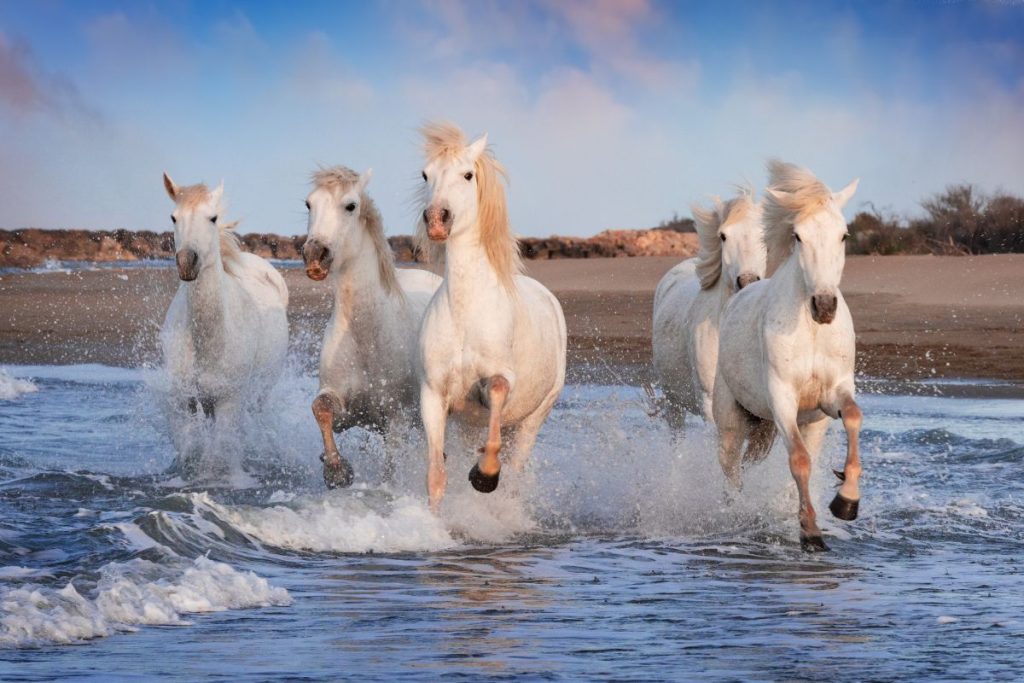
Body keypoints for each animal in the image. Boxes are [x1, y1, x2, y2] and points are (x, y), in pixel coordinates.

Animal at [160, 174, 289, 471]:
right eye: (174, 217)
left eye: (213, 217)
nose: (187, 262)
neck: (210, 339)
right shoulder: (183, 402)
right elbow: (189, 452)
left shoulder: (228, 403)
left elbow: (219, 456)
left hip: (258, 395)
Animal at [301, 166, 442, 489]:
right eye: (309, 203)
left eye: (350, 206)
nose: (315, 255)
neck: (366, 334)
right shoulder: (348, 411)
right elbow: (321, 409)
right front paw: (336, 470)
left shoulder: (396, 421)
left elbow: (390, 470)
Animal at [414, 122, 567, 512]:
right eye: (426, 174)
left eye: (468, 174)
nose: (436, 220)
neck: (466, 312)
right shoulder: (434, 394)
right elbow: (435, 474)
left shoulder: (500, 381)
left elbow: (496, 394)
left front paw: (484, 476)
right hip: (469, 425)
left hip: (533, 419)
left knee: (516, 468)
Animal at [712, 160, 862, 552]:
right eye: (798, 236)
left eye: (844, 235)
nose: (824, 306)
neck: (811, 332)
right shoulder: (782, 398)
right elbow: (798, 460)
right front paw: (810, 533)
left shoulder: (833, 394)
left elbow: (854, 417)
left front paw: (846, 502)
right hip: (732, 421)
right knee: (731, 469)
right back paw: (735, 514)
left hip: (787, 426)